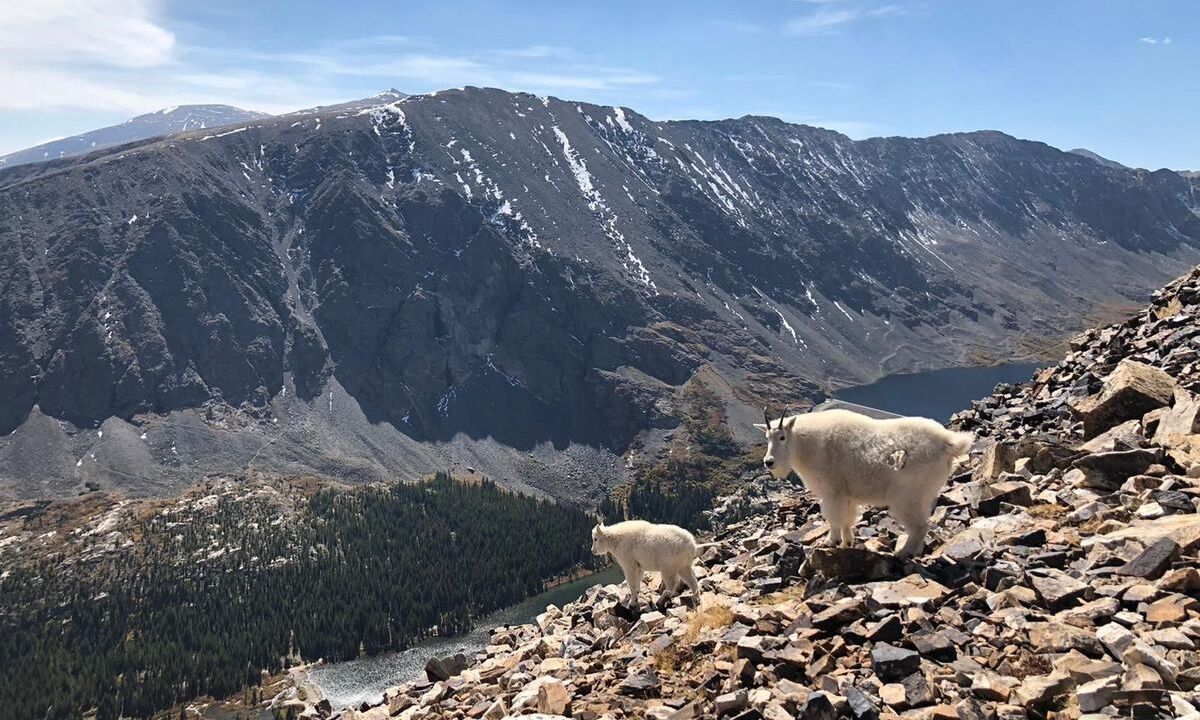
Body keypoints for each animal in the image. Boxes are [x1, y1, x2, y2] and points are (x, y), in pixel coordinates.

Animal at [758, 405, 974, 556]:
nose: (769, 462)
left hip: (908, 495)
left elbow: (833, 518)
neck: (805, 443)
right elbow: (847, 519)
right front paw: (847, 543)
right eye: (767, 437)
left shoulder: (832, 490)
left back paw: (903, 552)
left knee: (920, 525)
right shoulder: (846, 494)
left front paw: (829, 542)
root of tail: (948, 443)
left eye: (782, 437)